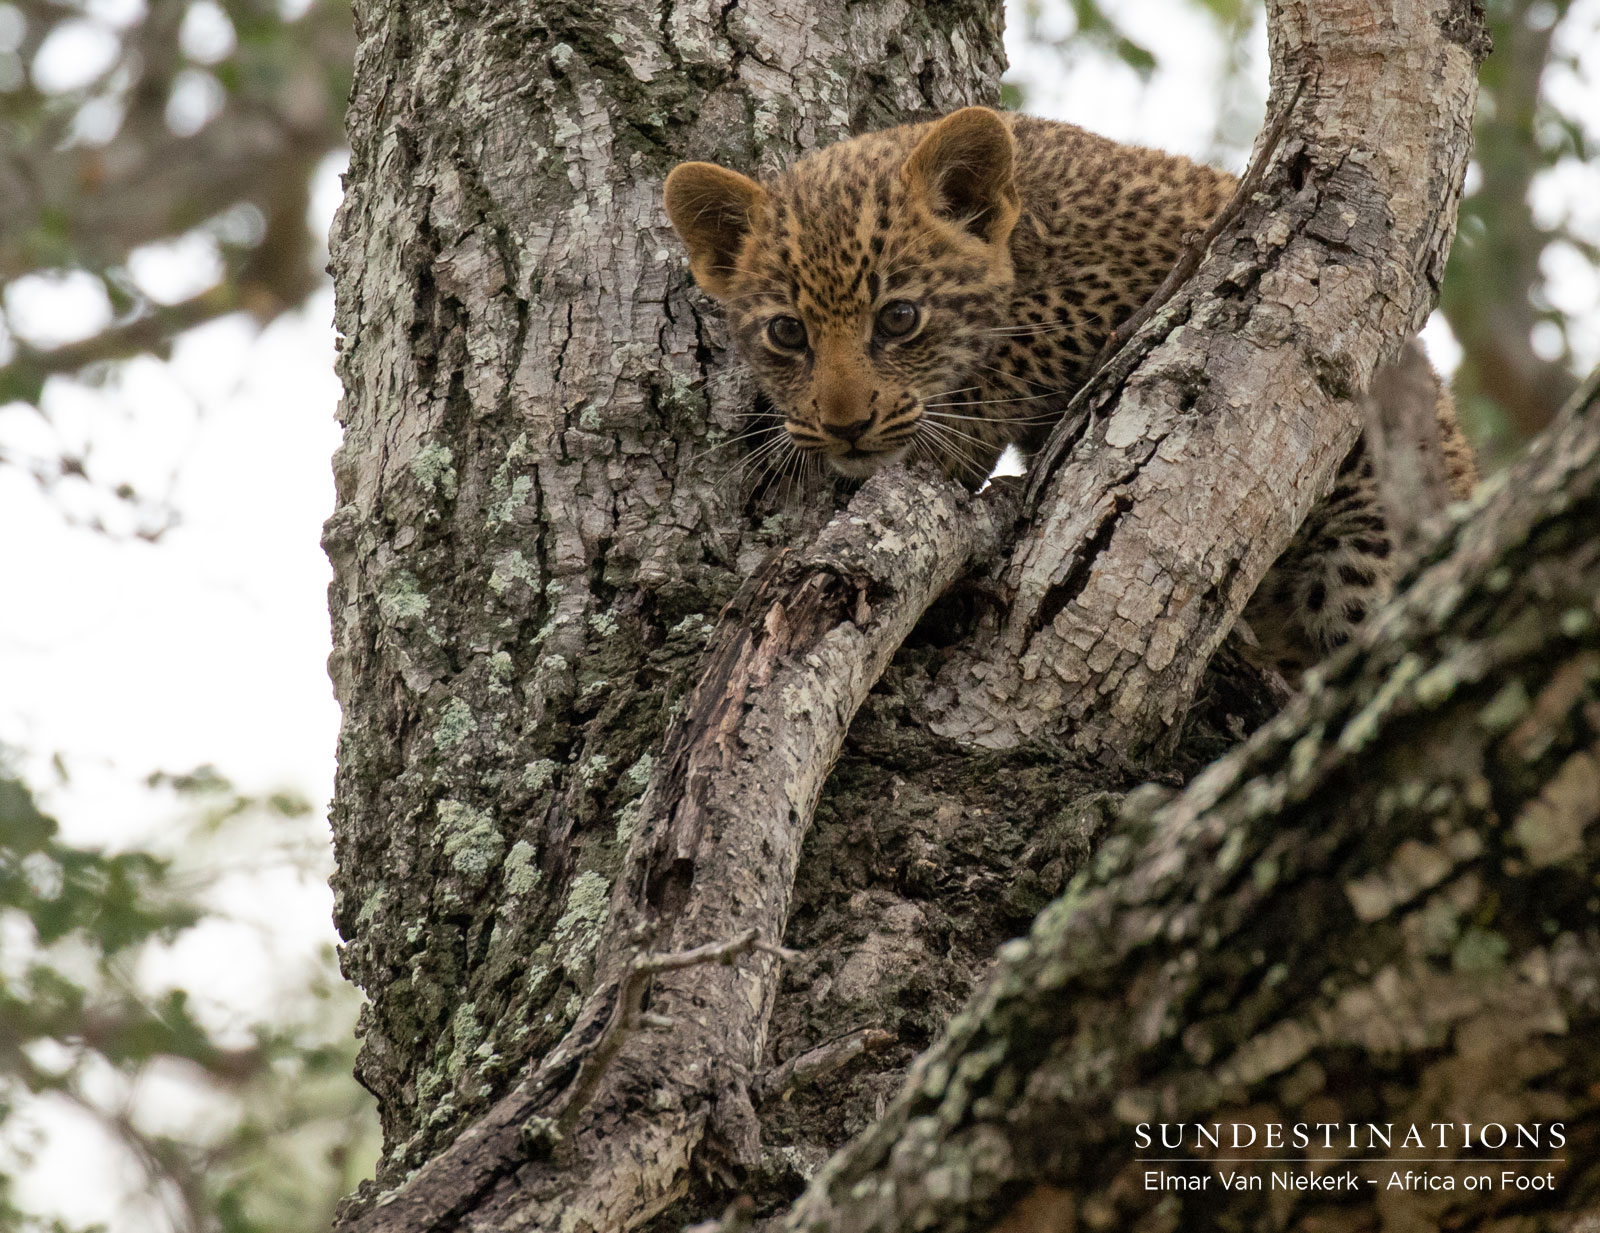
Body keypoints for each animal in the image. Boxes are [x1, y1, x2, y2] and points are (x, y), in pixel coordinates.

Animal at [664, 106, 1476, 677]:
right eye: (787, 333)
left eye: (899, 318)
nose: (843, 425)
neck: (1034, 230)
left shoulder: (1170, 276)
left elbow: (1024, 347)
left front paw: (945, 437)